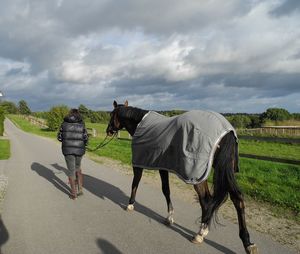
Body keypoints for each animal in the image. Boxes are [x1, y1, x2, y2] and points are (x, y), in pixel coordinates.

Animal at [105, 100, 258, 253]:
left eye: (112, 114)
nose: (108, 130)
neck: (140, 123)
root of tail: (227, 131)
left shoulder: (139, 164)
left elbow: (136, 184)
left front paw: (130, 205)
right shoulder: (163, 166)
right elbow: (166, 190)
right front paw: (169, 217)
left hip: (198, 174)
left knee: (206, 200)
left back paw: (200, 233)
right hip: (224, 170)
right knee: (237, 198)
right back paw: (247, 243)